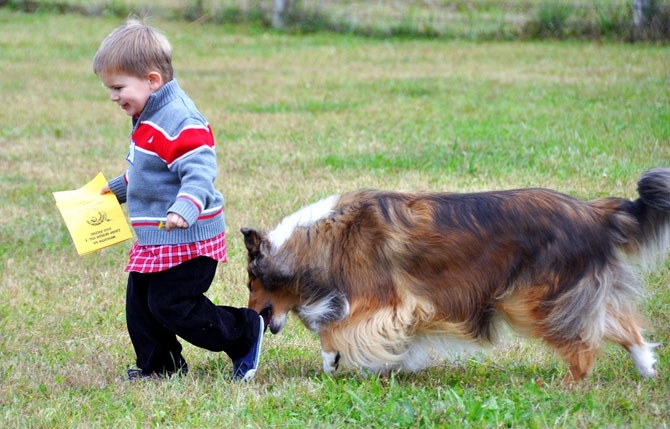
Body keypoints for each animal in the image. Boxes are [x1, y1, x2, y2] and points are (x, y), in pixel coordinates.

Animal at [242, 167, 670, 382]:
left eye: (250, 282)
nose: (254, 316)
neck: (318, 241)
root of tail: (593, 212)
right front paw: (385, 363)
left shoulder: (381, 302)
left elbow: (334, 329)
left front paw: (333, 360)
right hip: (564, 294)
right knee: (620, 326)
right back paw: (647, 368)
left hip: (532, 300)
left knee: (585, 343)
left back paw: (570, 385)